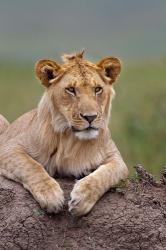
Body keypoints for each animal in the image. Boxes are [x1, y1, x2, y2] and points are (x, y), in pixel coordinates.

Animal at [0, 51, 128, 217]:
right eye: (71, 89)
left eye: (98, 89)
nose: (90, 117)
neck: (71, 140)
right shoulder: (9, 148)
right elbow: (32, 166)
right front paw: (50, 195)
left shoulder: (117, 160)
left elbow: (105, 174)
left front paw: (81, 199)